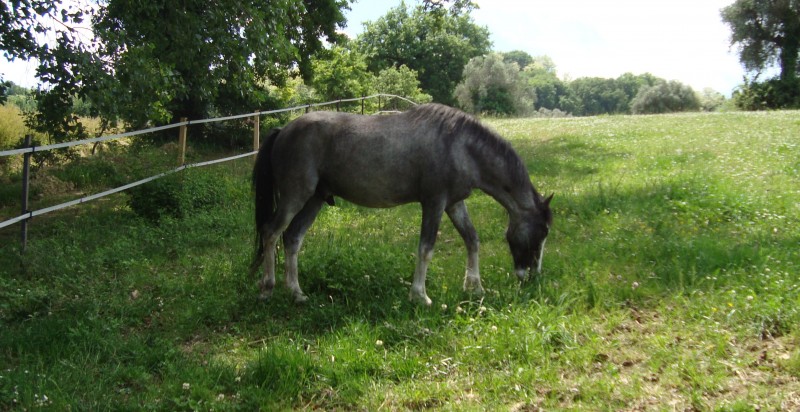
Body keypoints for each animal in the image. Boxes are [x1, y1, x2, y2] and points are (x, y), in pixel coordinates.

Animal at [250, 104, 552, 306]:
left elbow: (472, 239)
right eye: (542, 232)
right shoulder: (434, 203)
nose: (532, 276)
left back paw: (296, 293)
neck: (460, 146)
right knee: (271, 232)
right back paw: (267, 289)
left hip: (314, 200)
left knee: (292, 238)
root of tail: (283, 130)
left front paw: (474, 287)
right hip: (296, 196)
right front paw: (420, 296)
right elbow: (426, 249)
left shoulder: (454, 204)